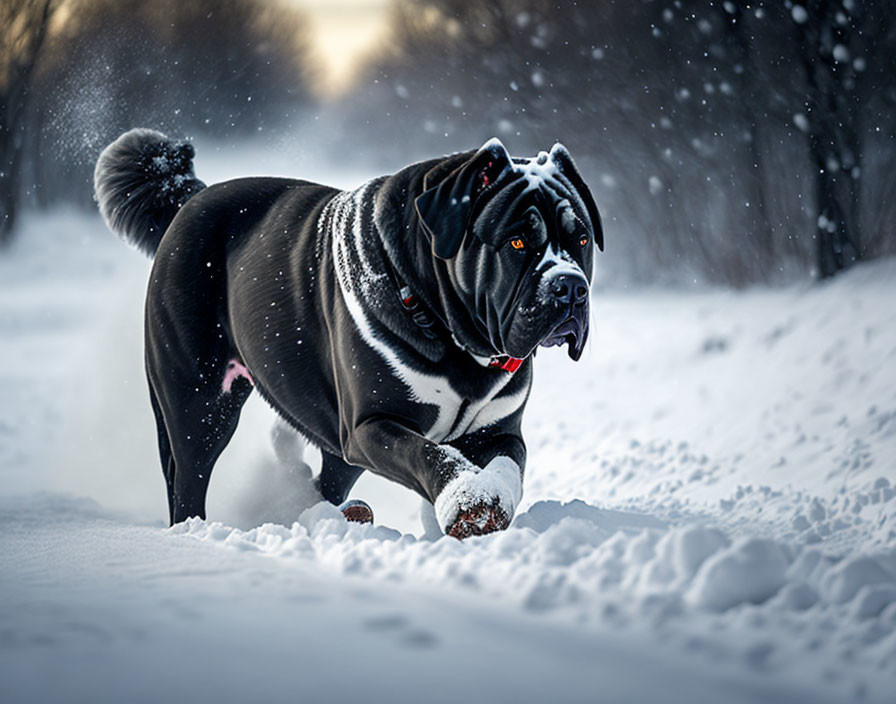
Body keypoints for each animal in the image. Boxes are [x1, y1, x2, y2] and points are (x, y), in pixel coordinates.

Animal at [94, 129, 600, 536]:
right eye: (517, 241)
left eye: (580, 239)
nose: (570, 286)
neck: (454, 338)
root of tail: (189, 201)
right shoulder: (371, 424)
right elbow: (427, 453)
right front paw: (467, 501)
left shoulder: (500, 429)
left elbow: (508, 465)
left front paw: (486, 498)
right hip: (197, 399)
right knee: (189, 478)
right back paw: (197, 529)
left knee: (327, 481)